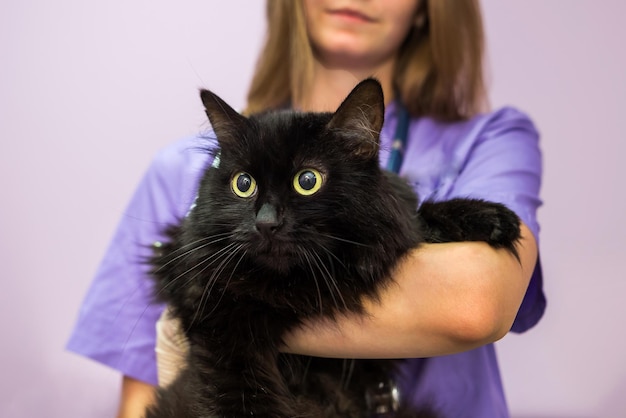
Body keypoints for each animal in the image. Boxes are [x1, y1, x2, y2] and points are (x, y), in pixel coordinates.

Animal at [144, 79, 520, 418]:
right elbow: (242, 402)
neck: (291, 287)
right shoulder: (220, 332)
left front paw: (486, 216)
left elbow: (418, 221)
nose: (266, 223)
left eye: (308, 181)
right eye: (244, 184)